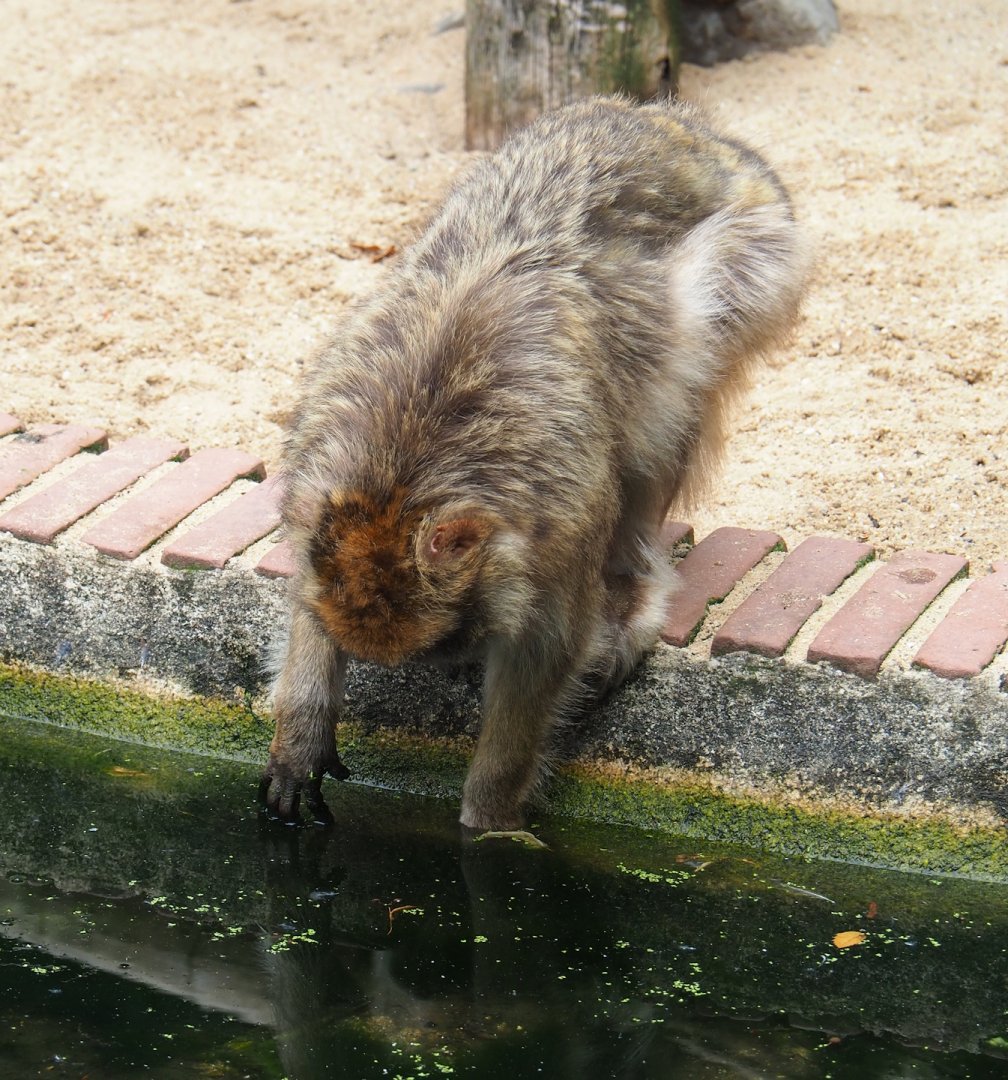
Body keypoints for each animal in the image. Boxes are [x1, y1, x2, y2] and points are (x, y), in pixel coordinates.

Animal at [259, 95, 807, 832]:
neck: (403, 474)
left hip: (760, 255)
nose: (446, 664)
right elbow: (310, 596)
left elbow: (546, 652)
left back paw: (631, 588)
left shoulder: (554, 537)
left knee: (673, 388)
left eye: (445, 641)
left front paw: (489, 821)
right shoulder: (315, 491)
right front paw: (301, 733)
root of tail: (689, 130)